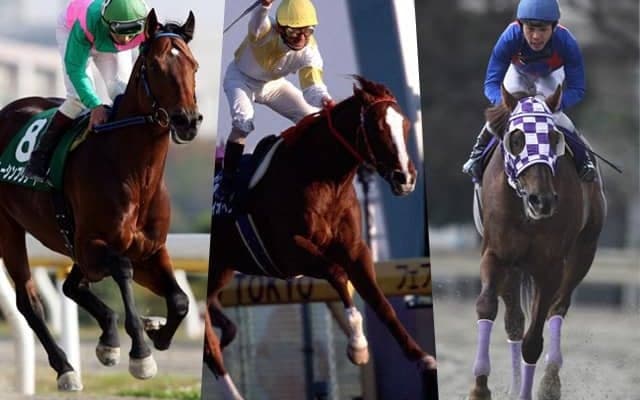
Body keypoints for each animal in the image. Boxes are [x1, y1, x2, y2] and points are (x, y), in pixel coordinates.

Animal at [0, 10, 201, 391]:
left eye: (194, 65)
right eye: (155, 66)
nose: (188, 120)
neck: (135, 174)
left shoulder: (150, 250)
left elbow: (180, 300)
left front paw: (157, 332)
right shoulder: (93, 245)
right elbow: (121, 269)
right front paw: (141, 353)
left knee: (71, 285)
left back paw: (107, 339)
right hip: (10, 230)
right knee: (29, 301)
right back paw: (66, 368)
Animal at [203, 76, 437, 399]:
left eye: (404, 124)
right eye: (378, 127)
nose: (406, 178)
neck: (322, 176)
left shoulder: (356, 249)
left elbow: (381, 302)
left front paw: (421, 356)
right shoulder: (290, 253)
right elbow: (338, 274)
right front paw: (358, 347)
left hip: (221, 271)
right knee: (211, 347)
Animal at [468, 85, 606, 400]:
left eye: (553, 138)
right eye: (516, 139)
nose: (541, 200)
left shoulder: (550, 266)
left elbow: (534, 340)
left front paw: (532, 390)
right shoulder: (496, 254)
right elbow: (486, 306)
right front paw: (479, 388)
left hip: (583, 252)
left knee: (558, 308)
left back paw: (549, 383)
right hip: (514, 268)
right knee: (514, 322)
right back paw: (515, 384)